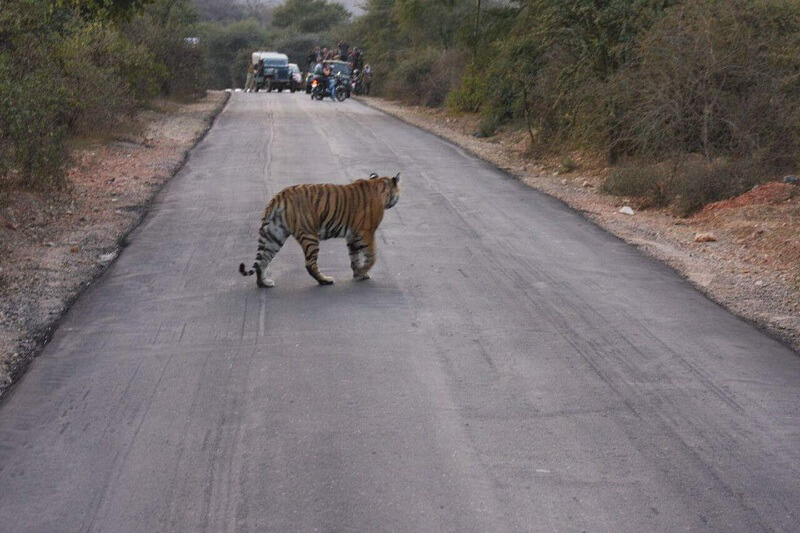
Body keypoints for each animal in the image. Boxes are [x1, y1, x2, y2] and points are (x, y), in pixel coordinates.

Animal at [239, 172, 401, 287]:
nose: (397, 200)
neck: (378, 184)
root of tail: (280, 196)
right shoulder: (366, 232)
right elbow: (372, 256)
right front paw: (363, 272)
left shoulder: (352, 236)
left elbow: (354, 256)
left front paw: (358, 274)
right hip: (309, 236)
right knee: (310, 264)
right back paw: (325, 280)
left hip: (275, 235)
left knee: (263, 260)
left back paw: (264, 283)